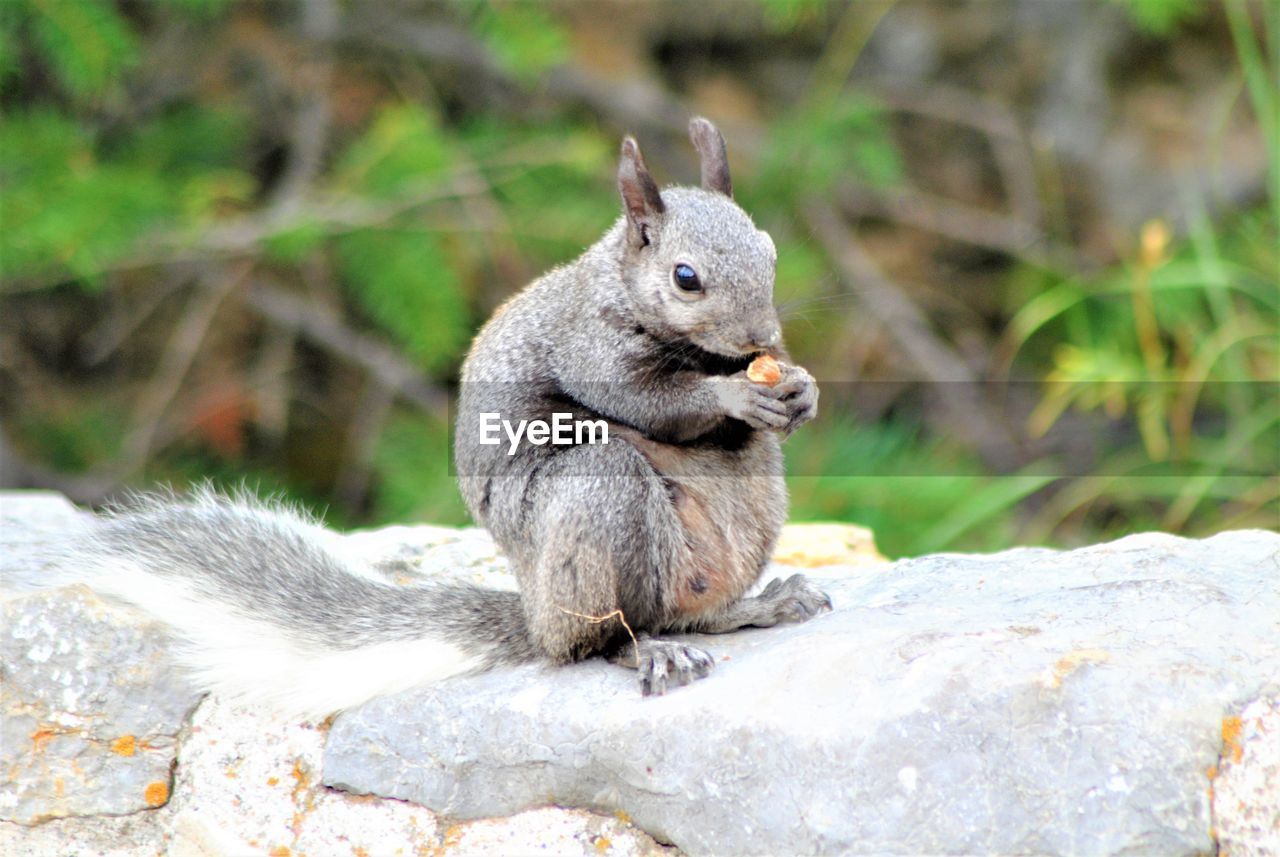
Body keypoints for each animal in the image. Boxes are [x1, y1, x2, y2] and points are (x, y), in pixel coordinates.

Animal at [5, 118, 829, 716]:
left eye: (769, 250)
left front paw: (802, 389)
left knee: (694, 609)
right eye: (686, 278)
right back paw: (644, 649)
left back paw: (756, 605)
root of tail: (533, 612)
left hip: (749, 506)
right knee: (596, 639)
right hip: (594, 510)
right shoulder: (585, 344)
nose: (763, 340)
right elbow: (646, 402)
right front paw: (731, 395)